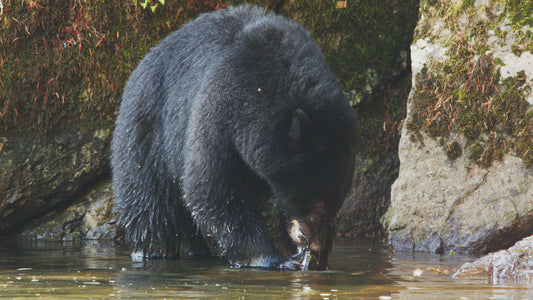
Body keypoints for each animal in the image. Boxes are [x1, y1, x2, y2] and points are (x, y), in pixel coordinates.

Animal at [110, 5, 356, 270]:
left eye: (336, 201)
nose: (315, 245)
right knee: (150, 205)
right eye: (313, 201)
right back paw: (154, 250)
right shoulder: (219, 107)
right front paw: (273, 258)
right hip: (148, 135)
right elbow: (210, 188)